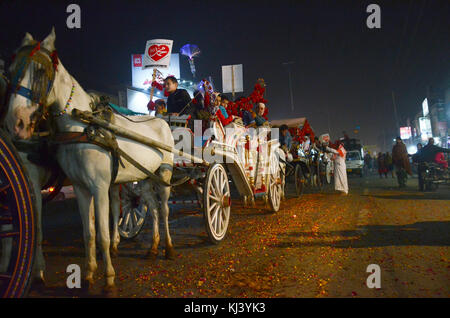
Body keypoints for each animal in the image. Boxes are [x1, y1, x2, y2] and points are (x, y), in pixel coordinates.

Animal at [5, 28, 178, 294]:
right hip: (144, 176)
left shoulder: (99, 185)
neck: (83, 127)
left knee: (165, 209)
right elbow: (89, 233)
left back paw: (168, 248)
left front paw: (108, 278)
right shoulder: (80, 187)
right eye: (10, 70)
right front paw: (87, 275)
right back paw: (152, 247)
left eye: (41, 72)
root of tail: (160, 120)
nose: (16, 122)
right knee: (153, 207)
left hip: (164, 173)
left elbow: (103, 234)